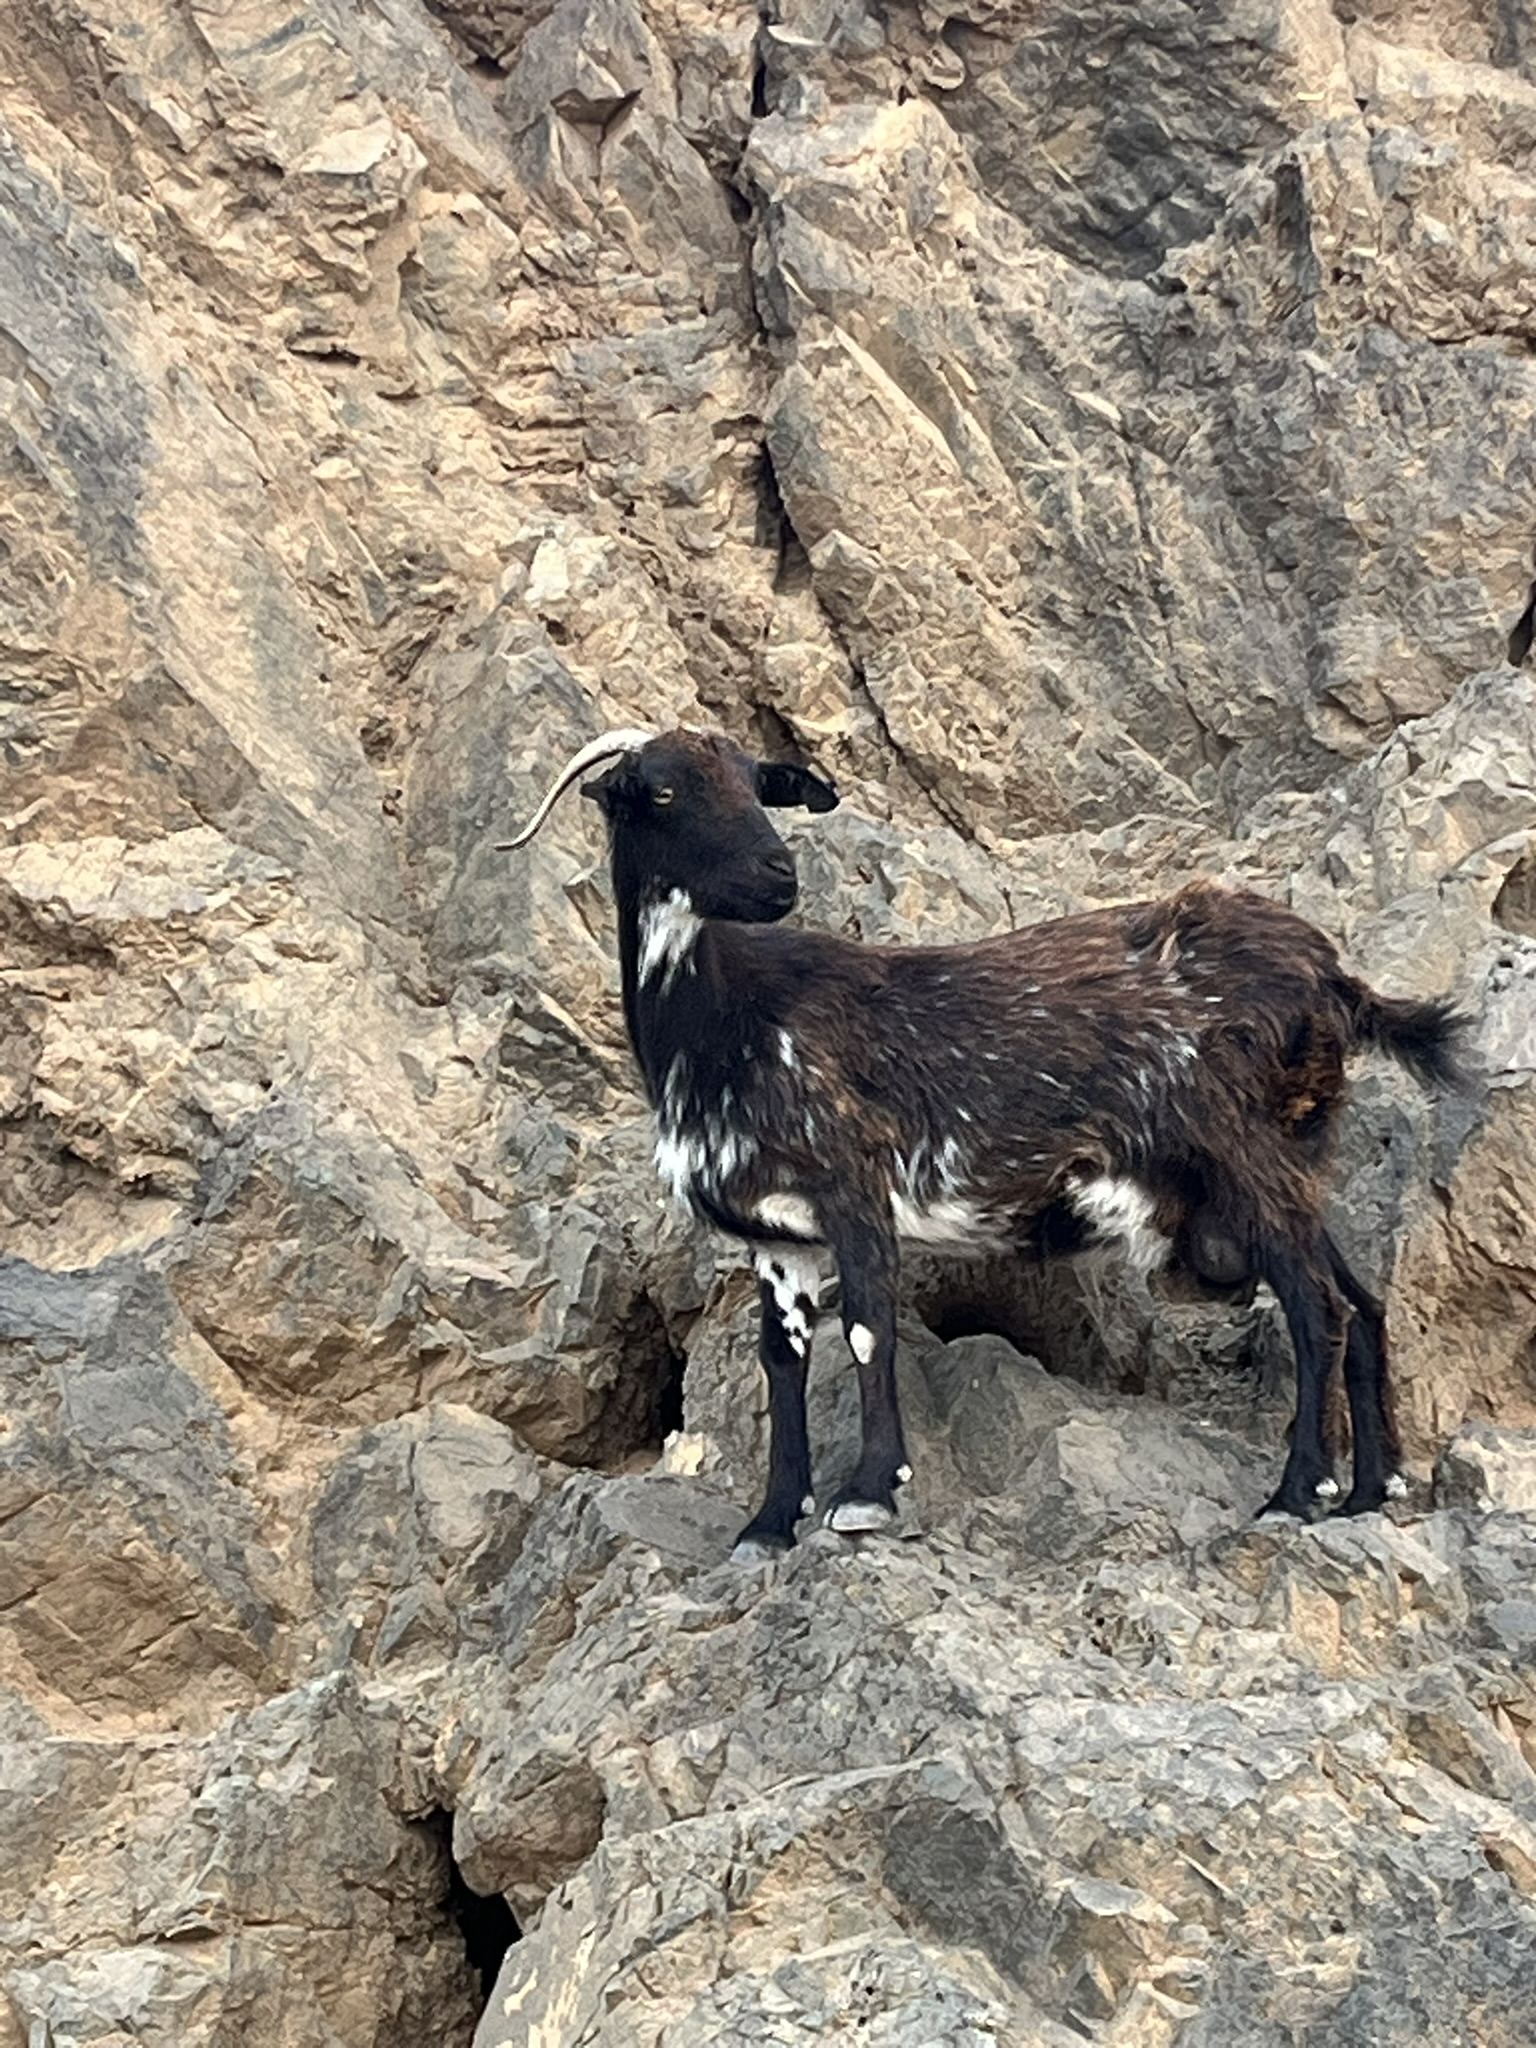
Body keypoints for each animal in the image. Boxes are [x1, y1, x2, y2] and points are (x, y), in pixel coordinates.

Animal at [503, 726, 1464, 1560]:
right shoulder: (774, 1236)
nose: (778, 875)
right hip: (1290, 1164)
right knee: (1362, 1303)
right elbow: (784, 1359)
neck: (728, 1022)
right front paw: (770, 1524)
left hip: (1245, 1155)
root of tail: (1330, 976)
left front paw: (867, 1496)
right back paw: (1370, 1492)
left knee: (1317, 1308)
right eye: (665, 790)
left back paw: (1295, 1495)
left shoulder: (854, 1185)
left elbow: (866, 1330)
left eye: (753, 783)